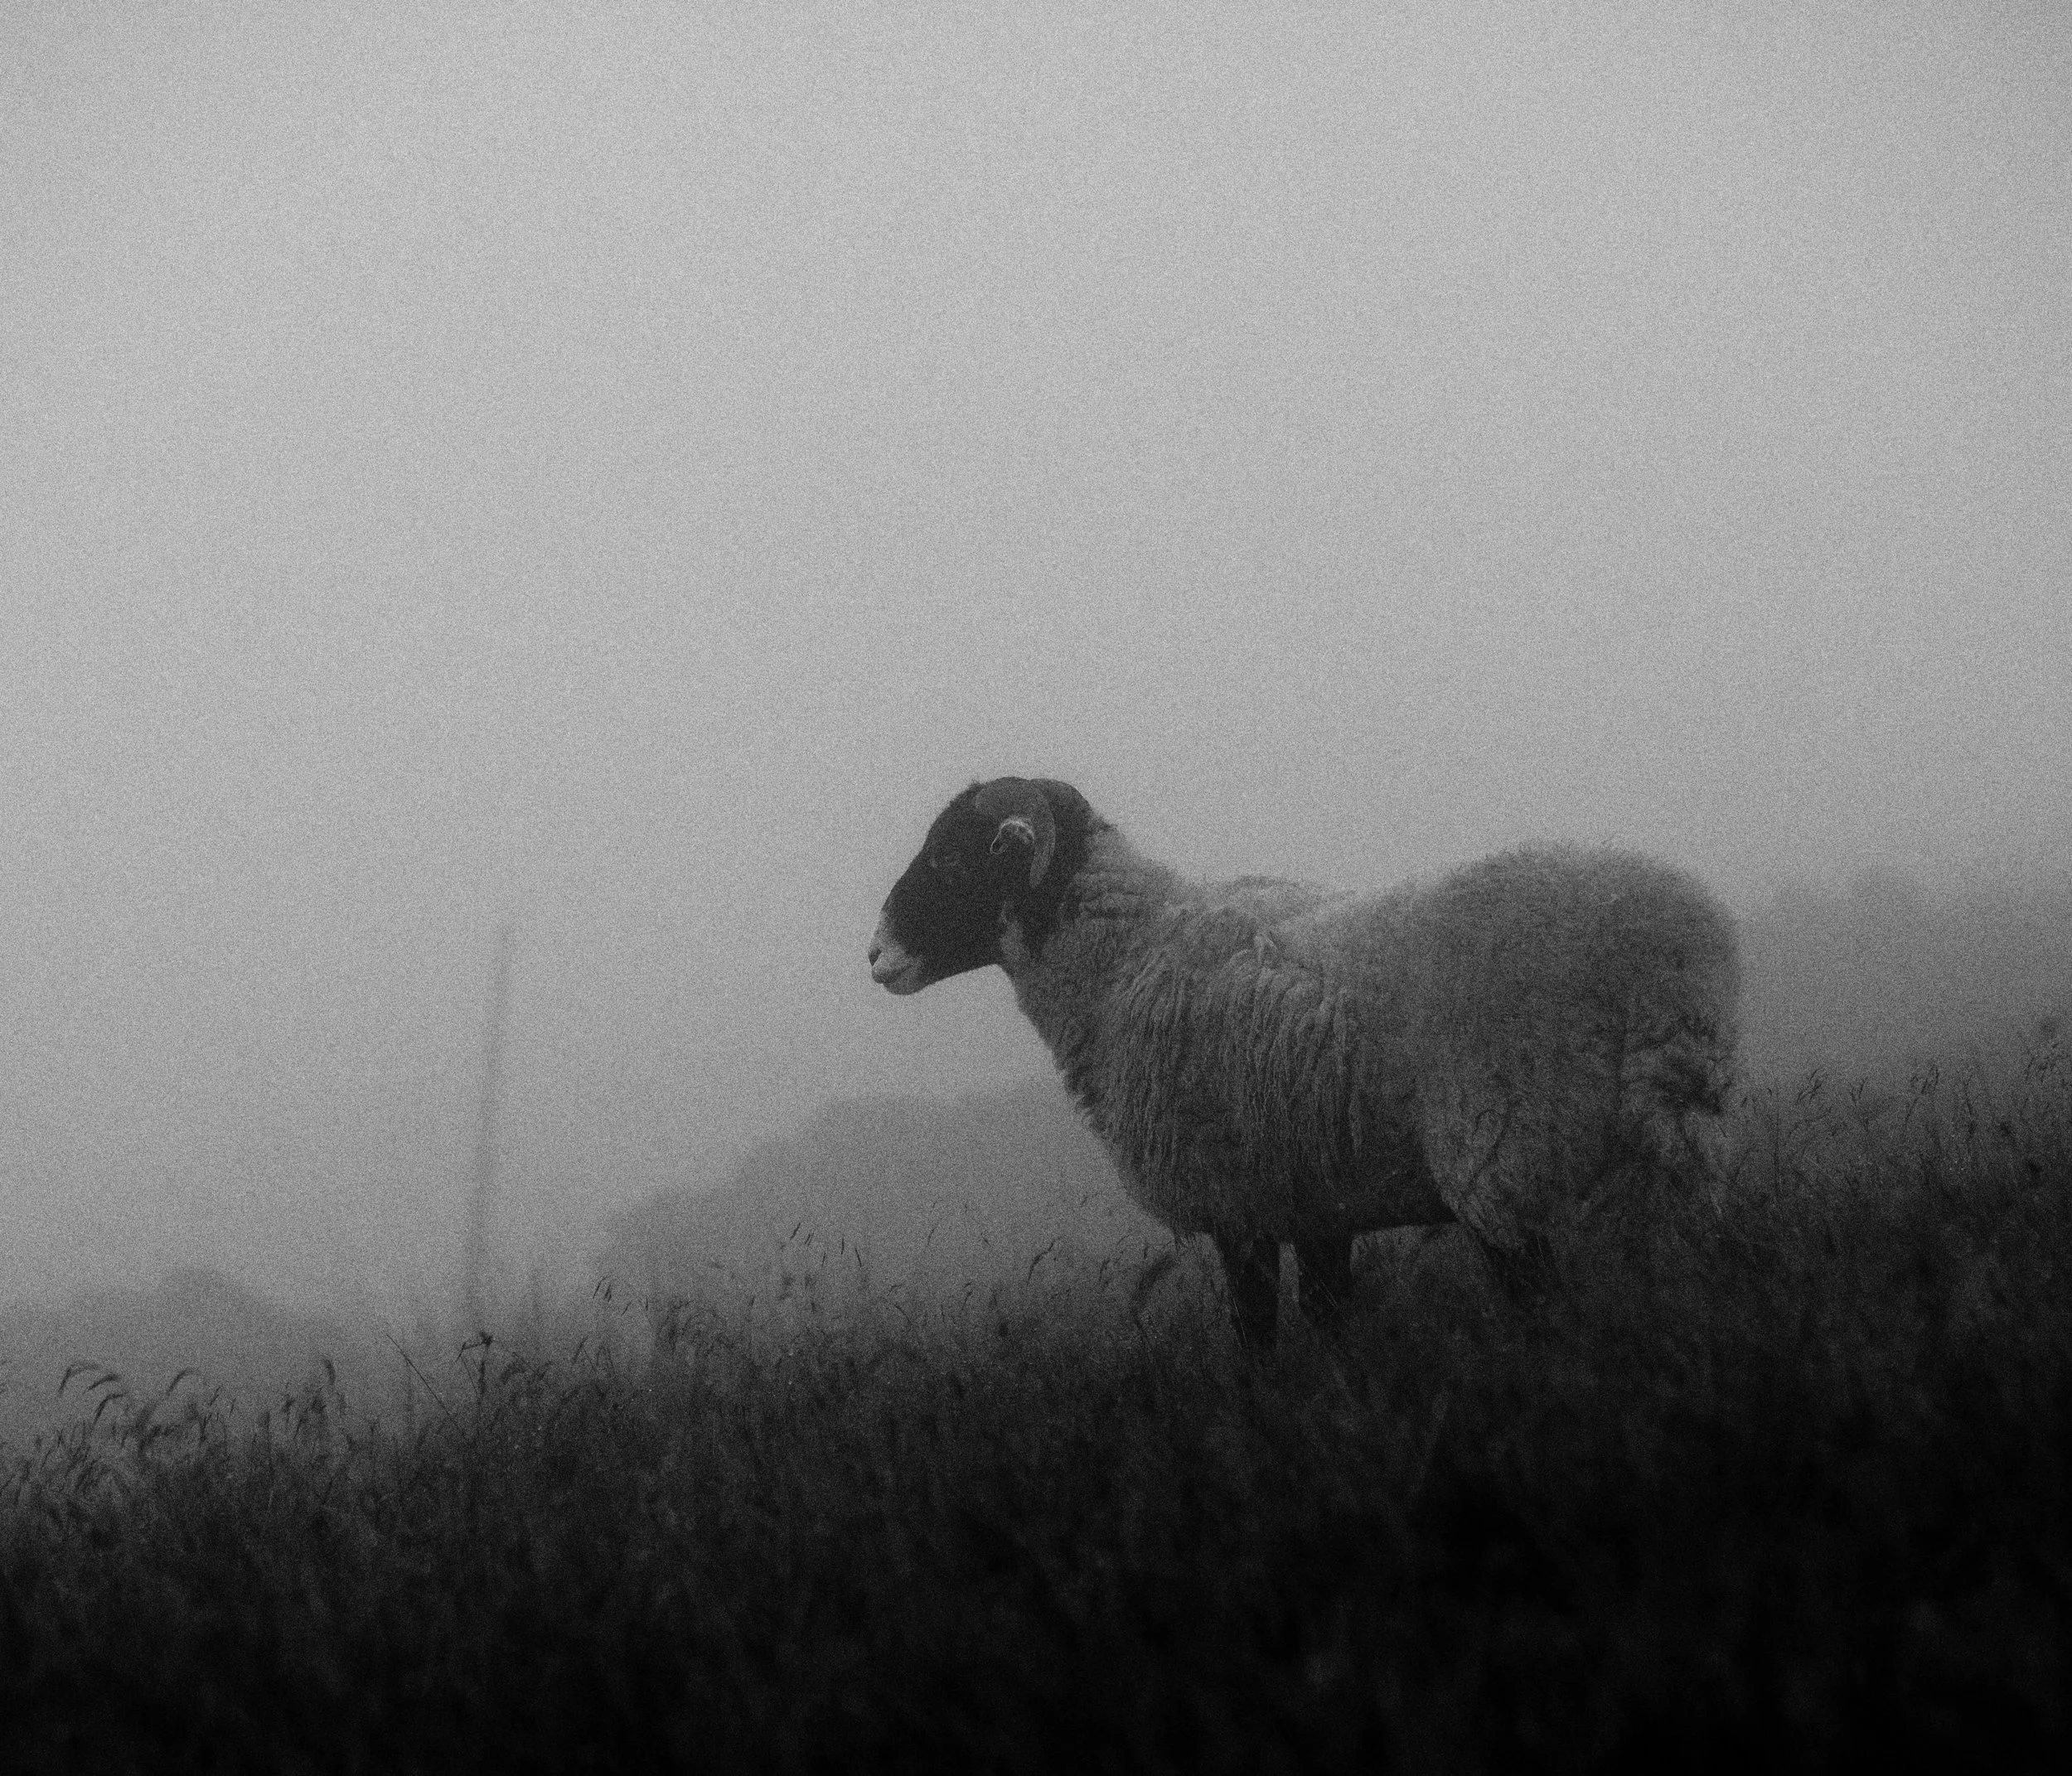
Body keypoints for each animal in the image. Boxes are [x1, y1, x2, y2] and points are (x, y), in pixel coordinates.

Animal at [868, 776, 1740, 1347]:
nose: (874, 955)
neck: (1122, 959)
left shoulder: (1237, 1202)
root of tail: (1671, 951)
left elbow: (1256, 1337)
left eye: (951, 860)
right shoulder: (1317, 1198)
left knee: (1543, 1306)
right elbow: (1329, 1322)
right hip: (1678, 1141)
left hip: (1505, 1155)